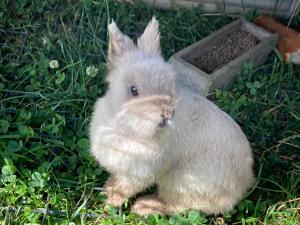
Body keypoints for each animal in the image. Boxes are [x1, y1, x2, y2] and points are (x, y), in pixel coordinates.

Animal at [90, 16, 254, 215]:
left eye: (169, 87)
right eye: (134, 90)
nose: (167, 114)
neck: (126, 127)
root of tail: (243, 185)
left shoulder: (138, 174)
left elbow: (125, 189)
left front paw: (110, 202)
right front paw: (107, 189)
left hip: (180, 184)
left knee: (176, 207)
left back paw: (145, 206)